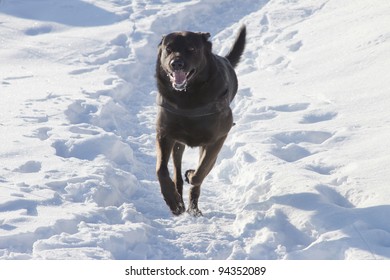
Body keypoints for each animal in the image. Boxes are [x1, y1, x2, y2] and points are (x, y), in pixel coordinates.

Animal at [155, 25, 244, 215]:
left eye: (191, 49)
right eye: (169, 49)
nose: (176, 63)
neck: (188, 97)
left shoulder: (217, 139)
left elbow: (200, 172)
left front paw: (191, 174)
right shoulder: (165, 133)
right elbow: (161, 170)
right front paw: (172, 201)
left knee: (200, 174)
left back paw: (194, 208)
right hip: (178, 144)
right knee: (176, 170)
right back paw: (180, 199)